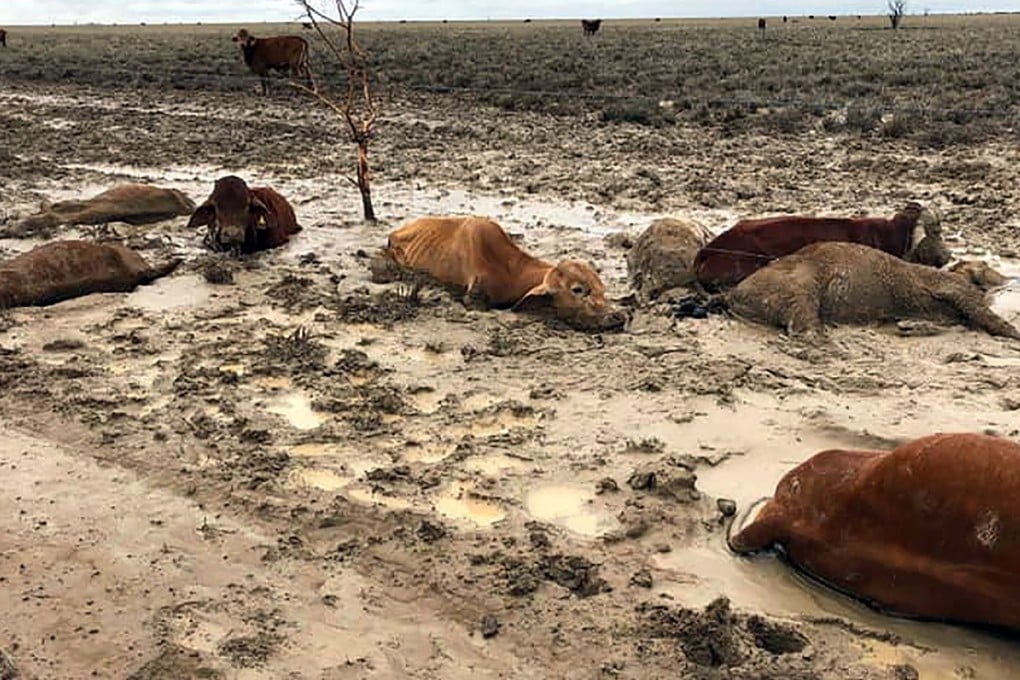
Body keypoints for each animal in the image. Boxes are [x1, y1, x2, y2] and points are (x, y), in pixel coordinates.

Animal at [371, 216, 628, 331]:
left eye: (602, 289)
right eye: (578, 290)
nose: (618, 316)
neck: (510, 270)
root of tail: (396, 233)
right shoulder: (473, 295)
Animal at [726, 242, 1020, 340]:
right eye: (985, 265)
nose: (1010, 279)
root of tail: (732, 294)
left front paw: (909, 326)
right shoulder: (954, 287)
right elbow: (983, 313)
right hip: (797, 284)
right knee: (803, 321)